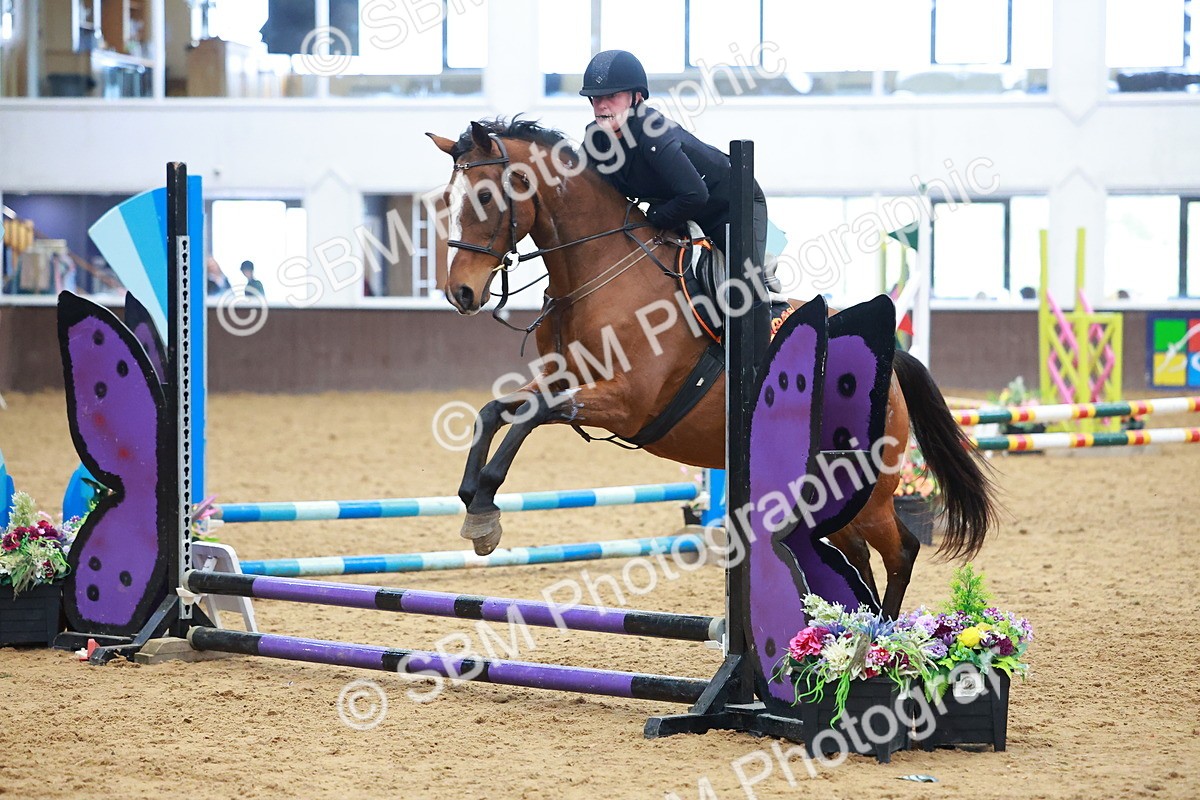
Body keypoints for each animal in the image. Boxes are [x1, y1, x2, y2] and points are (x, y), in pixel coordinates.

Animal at [426, 119, 997, 618]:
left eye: (484, 198)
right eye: (446, 202)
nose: (461, 293)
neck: (596, 278)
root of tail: (893, 360)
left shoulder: (626, 402)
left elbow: (529, 416)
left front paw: (485, 506)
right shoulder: (563, 380)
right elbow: (495, 410)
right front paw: (473, 501)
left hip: (865, 488)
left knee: (900, 550)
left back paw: (873, 648)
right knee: (854, 554)